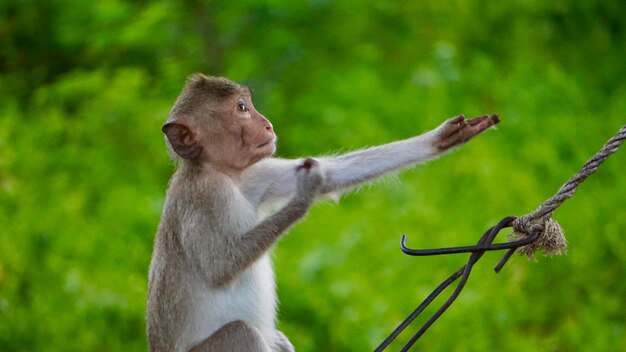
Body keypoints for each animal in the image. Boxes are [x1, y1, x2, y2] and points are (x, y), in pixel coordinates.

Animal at [145, 73, 498, 350]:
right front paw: (303, 196)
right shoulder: (205, 196)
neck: (222, 172)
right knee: (241, 333)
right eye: (241, 109)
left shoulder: (252, 176)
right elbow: (219, 266)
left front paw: (445, 137)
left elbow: (332, 174)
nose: (267, 124)